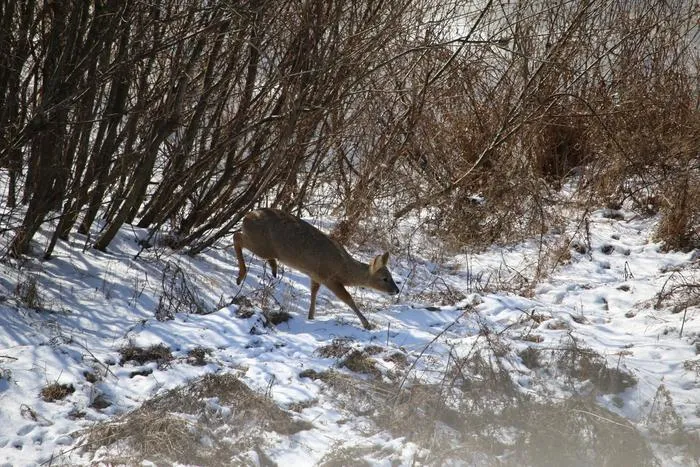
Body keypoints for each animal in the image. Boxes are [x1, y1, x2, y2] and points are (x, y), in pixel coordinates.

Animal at [233, 208, 399, 329]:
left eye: (391, 276)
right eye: (385, 278)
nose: (397, 290)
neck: (344, 269)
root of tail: (246, 217)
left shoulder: (315, 276)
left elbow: (313, 293)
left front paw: (311, 316)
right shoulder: (329, 278)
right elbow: (348, 298)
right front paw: (367, 324)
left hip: (263, 246)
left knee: (239, 237)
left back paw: (273, 268)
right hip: (261, 244)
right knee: (237, 237)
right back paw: (240, 276)